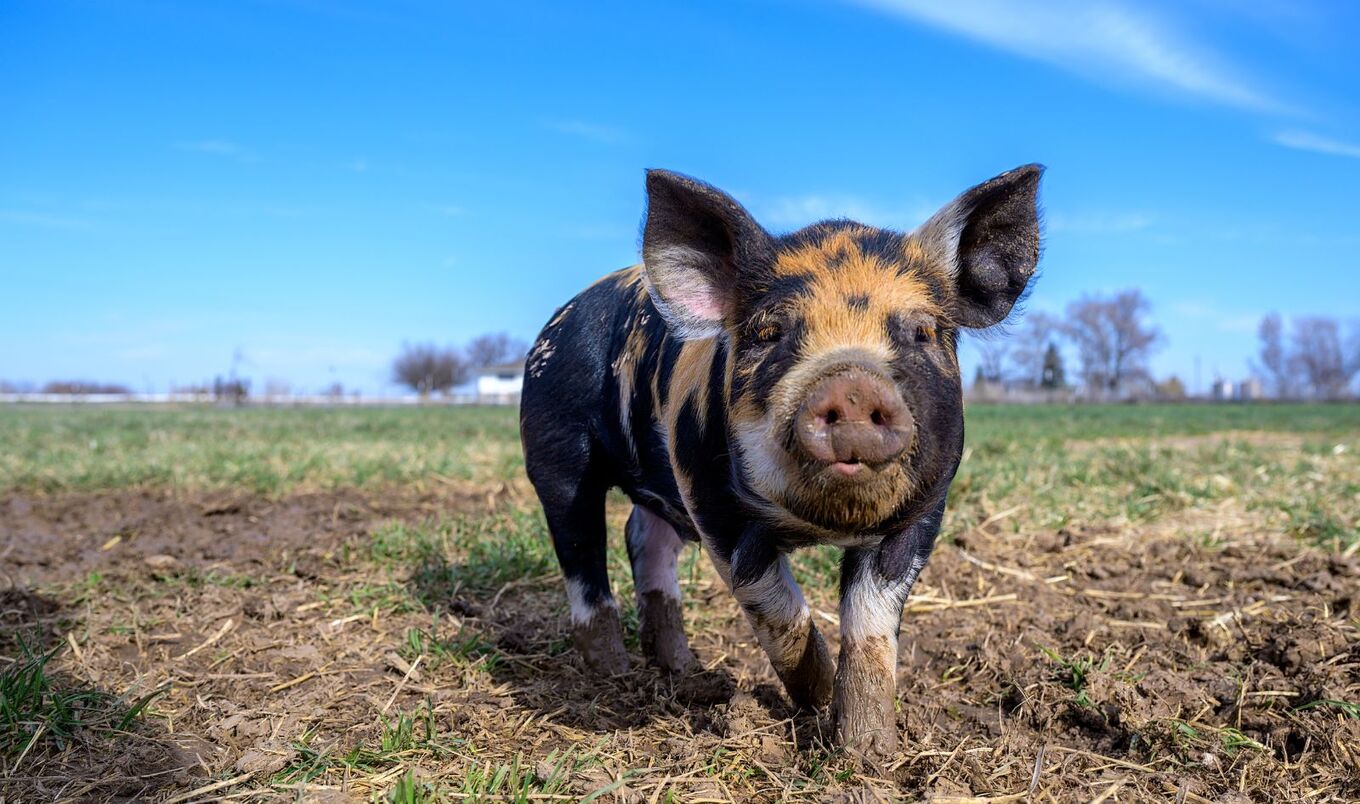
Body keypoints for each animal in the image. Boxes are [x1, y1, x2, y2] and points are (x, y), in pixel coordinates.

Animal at [519, 164, 1042, 755]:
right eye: (770, 333)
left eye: (924, 332)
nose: (854, 386)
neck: (820, 526)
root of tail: (563, 314)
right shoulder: (711, 503)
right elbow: (776, 609)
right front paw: (814, 700)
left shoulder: (925, 510)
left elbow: (871, 627)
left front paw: (867, 751)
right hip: (555, 446)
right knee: (582, 550)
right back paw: (612, 671)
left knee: (644, 541)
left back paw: (683, 670)